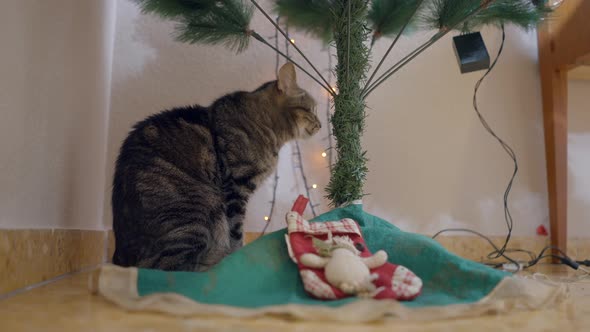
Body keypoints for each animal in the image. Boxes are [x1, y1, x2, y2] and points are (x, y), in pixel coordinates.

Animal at [112, 63, 322, 272]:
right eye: (311, 110)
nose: (320, 125)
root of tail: (120, 256)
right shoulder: (237, 186)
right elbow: (236, 232)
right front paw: (237, 256)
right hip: (195, 213)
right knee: (168, 268)